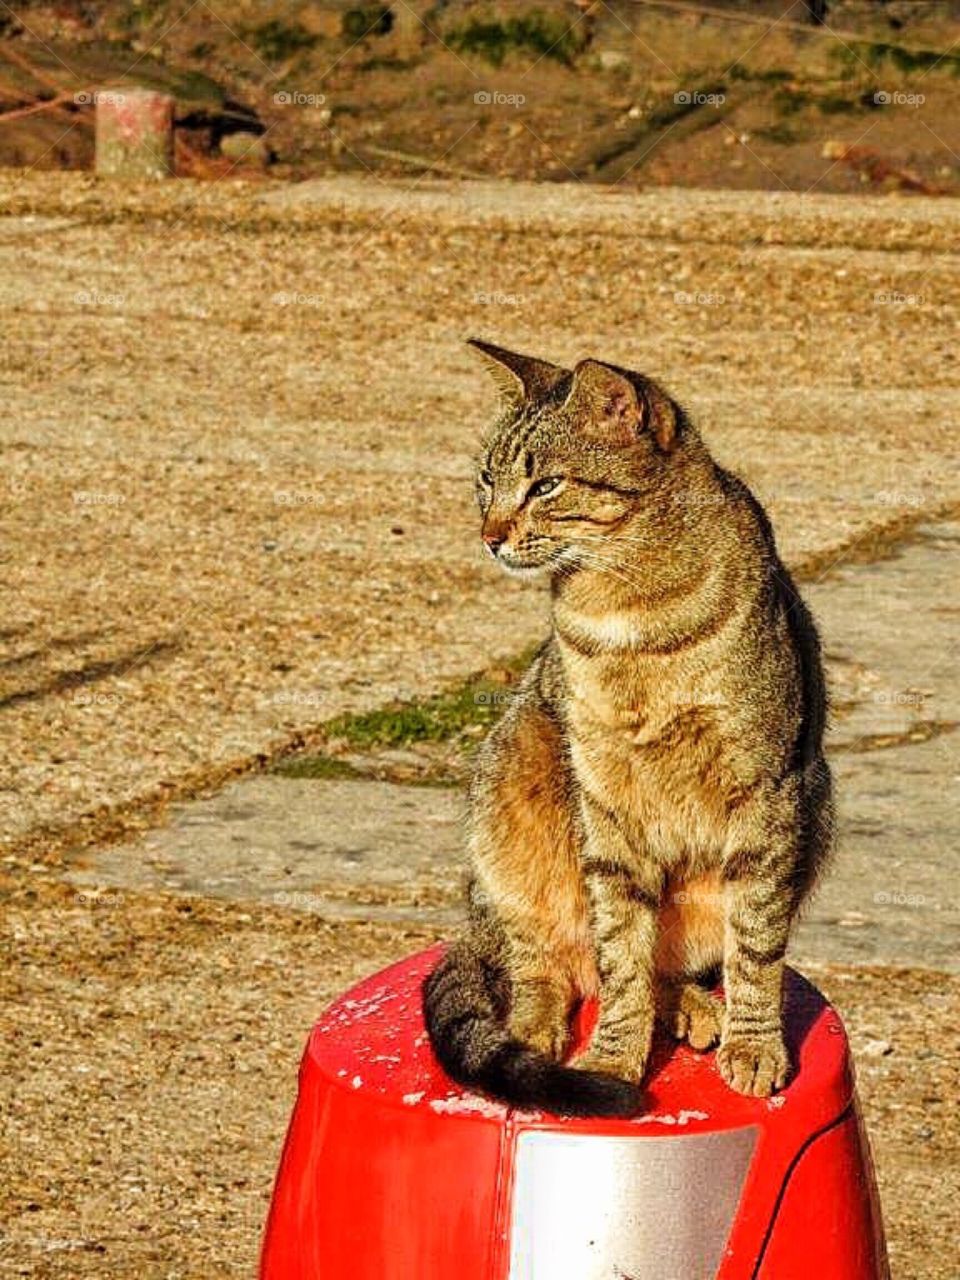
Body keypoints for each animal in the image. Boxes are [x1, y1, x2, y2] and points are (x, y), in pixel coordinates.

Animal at [424, 337, 839, 1111]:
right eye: (486, 479)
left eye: (546, 485)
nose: (489, 535)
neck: (624, 608)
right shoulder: (604, 797)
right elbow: (619, 955)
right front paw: (615, 1058)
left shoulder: (767, 787)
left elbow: (755, 943)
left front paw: (754, 1043)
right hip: (507, 802)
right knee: (547, 964)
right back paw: (540, 1028)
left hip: (817, 808)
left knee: (680, 961)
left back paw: (694, 1006)